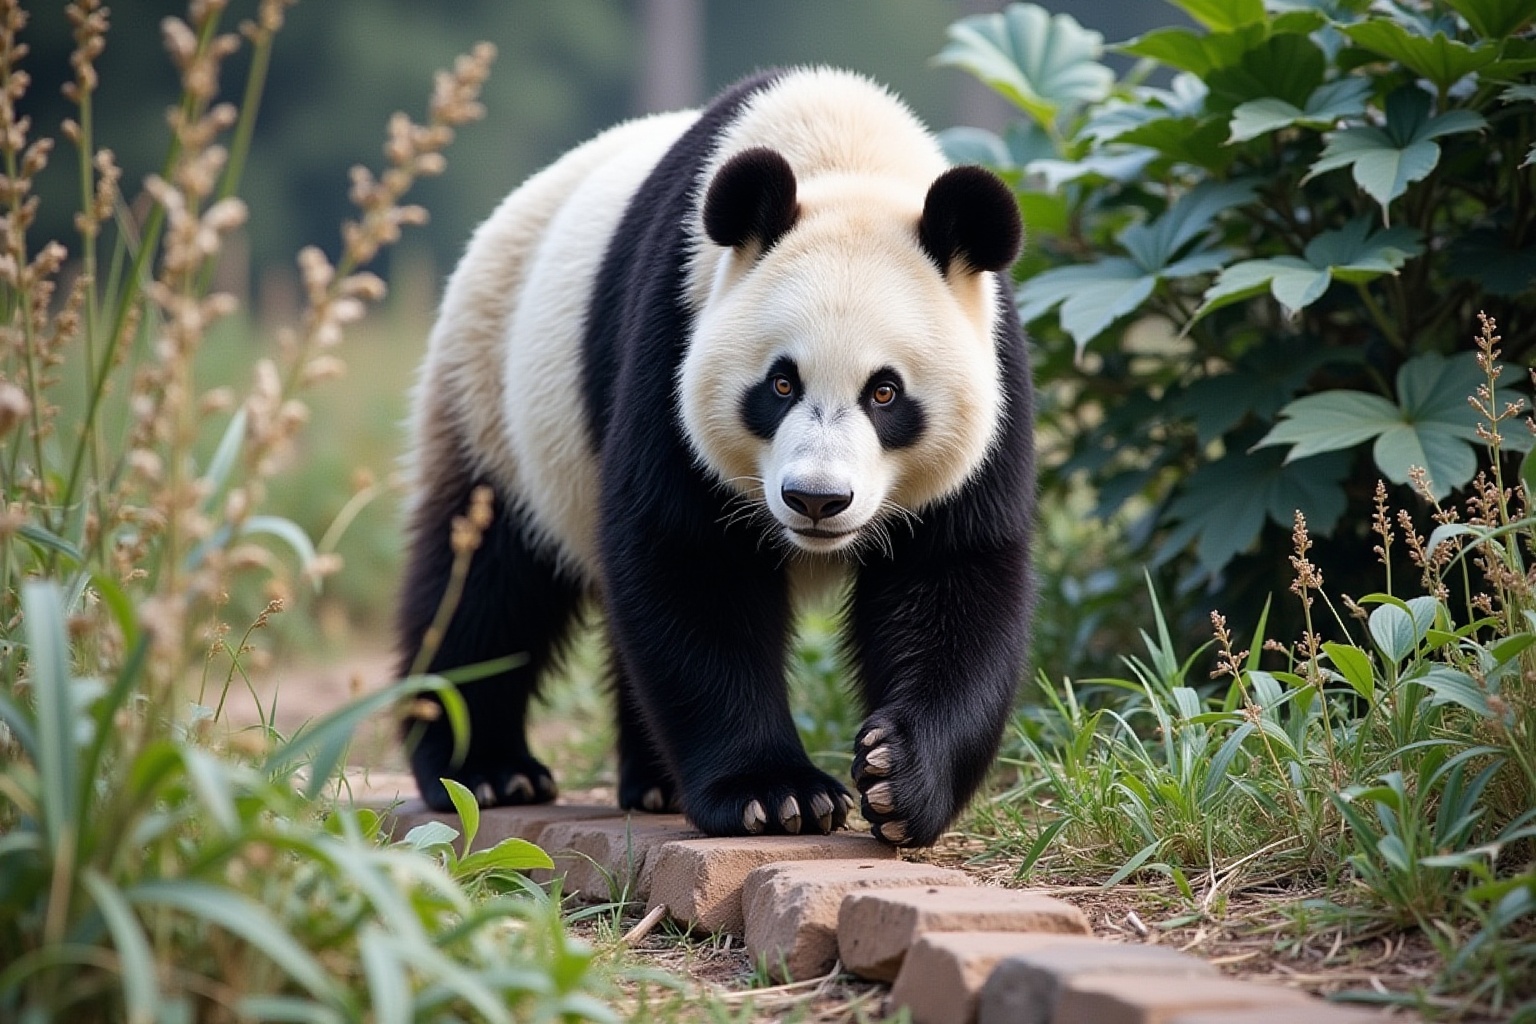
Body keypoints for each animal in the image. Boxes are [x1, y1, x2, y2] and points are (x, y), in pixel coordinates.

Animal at [396, 67, 1035, 848]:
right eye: (781, 383)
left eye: (885, 392)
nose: (816, 499)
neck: (846, 157)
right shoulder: (673, 327)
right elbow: (688, 557)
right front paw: (776, 794)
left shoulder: (994, 379)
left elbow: (956, 576)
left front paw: (899, 778)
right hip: (492, 396)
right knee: (487, 577)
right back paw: (486, 769)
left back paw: (654, 781)